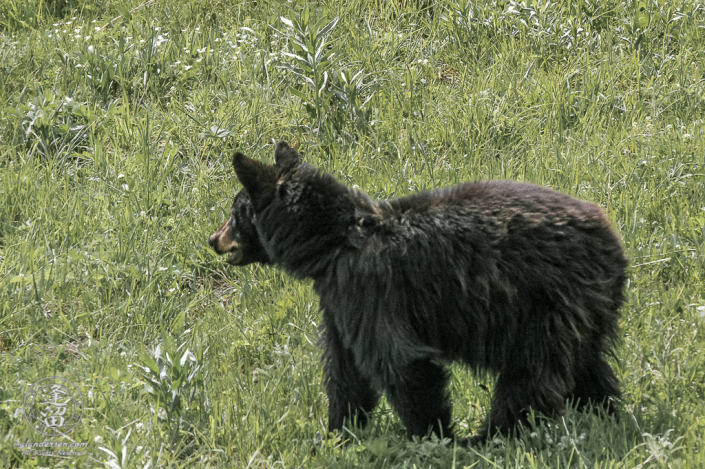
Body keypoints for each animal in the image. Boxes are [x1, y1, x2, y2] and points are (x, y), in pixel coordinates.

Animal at [210, 141, 628, 444]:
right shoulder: (339, 300)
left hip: (543, 303)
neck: (334, 244)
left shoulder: (371, 290)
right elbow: (345, 370)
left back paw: (490, 435)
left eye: (233, 211)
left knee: (532, 373)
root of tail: (613, 238)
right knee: (586, 366)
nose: (213, 239)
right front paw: (338, 432)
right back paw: (606, 413)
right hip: (585, 309)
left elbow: (400, 363)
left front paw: (431, 437)